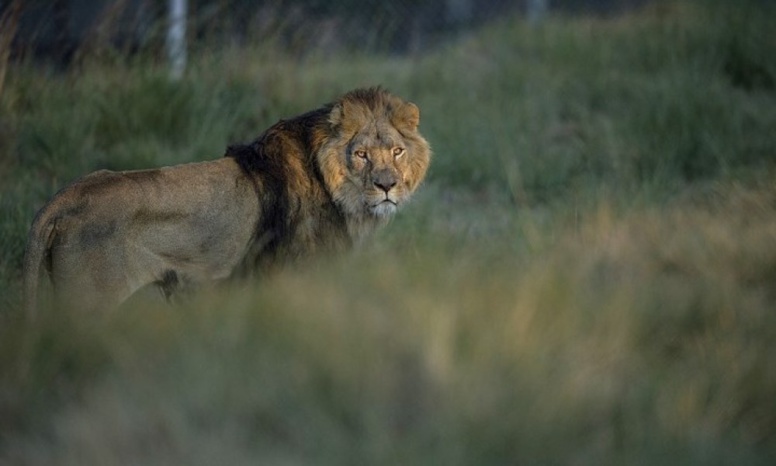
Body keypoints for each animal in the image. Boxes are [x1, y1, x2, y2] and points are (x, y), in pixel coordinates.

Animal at [23, 87, 431, 315]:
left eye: (397, 151)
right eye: (361, 155)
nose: (387, 186)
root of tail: (64, 198)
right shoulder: (296, 276)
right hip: (87, 304)